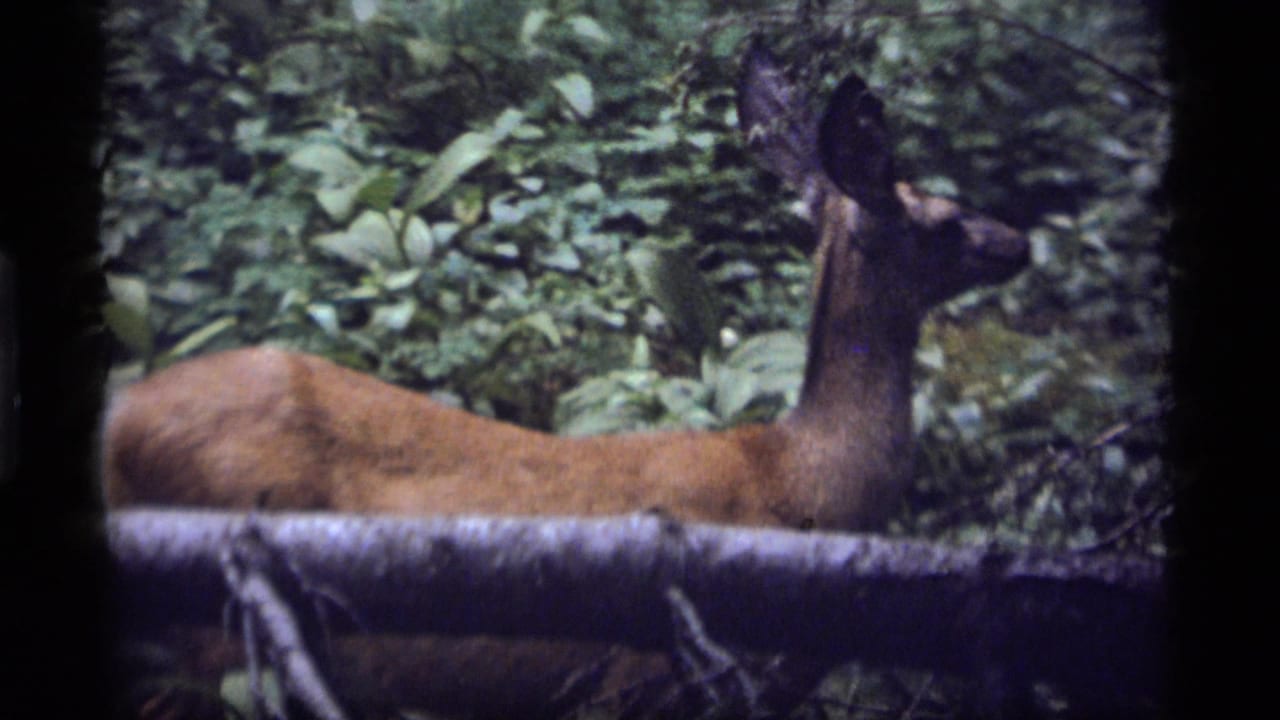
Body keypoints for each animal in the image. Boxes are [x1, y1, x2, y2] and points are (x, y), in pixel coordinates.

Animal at [104, 47, 1028, 719]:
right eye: (941, 220)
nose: (1019, 241)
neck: (804, 484)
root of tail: (117, 424)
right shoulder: (639, 683)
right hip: (212, 637)